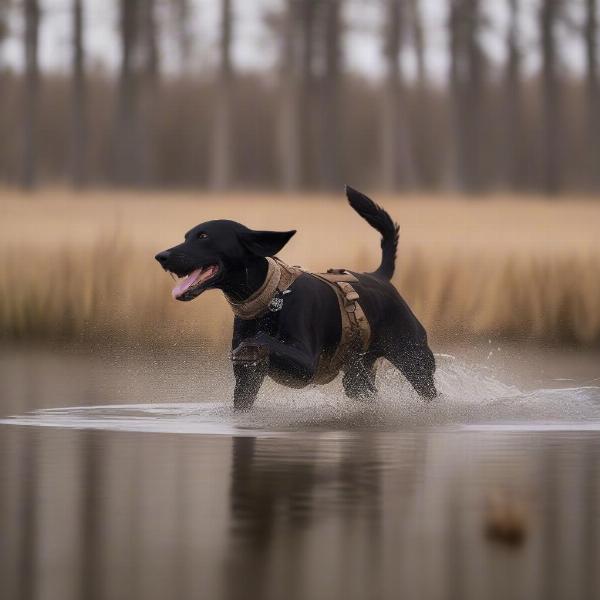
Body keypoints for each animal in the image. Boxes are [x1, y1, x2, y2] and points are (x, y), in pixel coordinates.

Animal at [155, 188, 436, 410]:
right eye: (186, 236)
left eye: (203, 236)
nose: (161, 256)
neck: (270, 299)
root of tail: (380, 276)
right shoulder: (246, 381)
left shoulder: (306, 365)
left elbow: (260, 339)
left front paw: (252, 343)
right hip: (357, 377)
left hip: (416, 361)